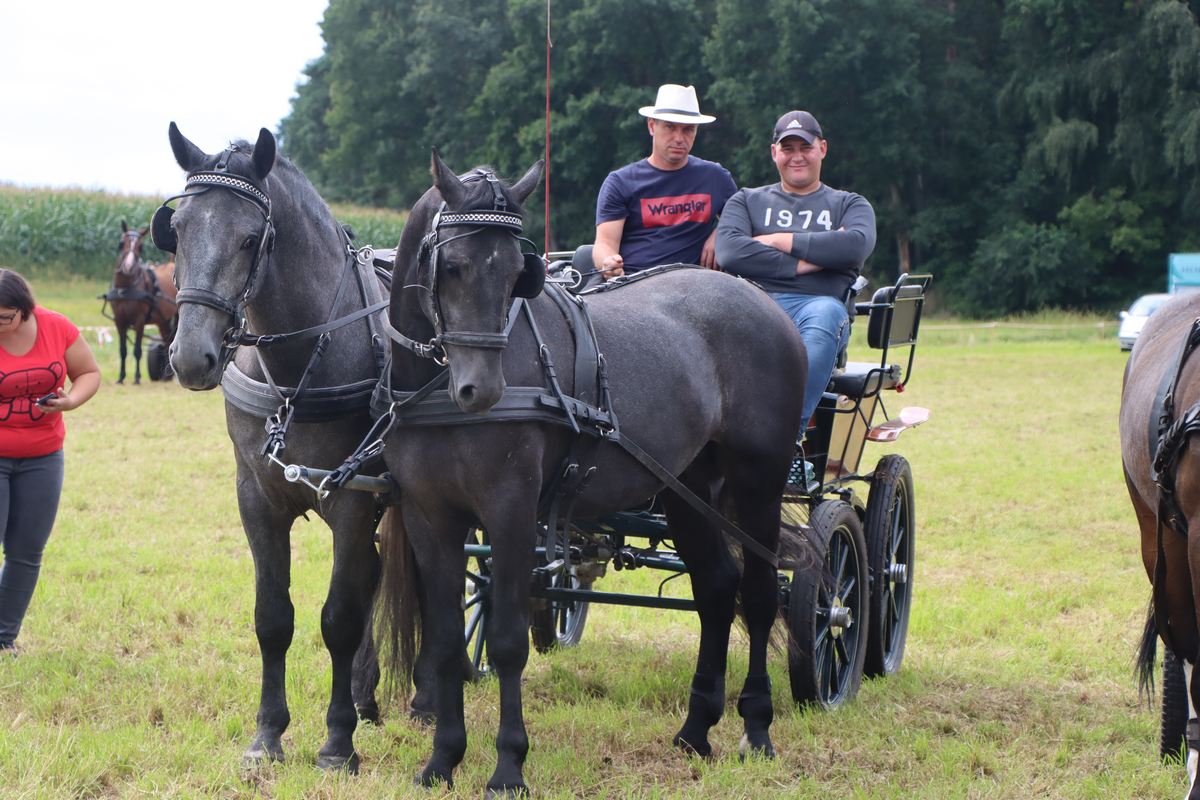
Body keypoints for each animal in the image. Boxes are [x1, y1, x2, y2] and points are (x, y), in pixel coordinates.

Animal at [106, 219, 178, 381]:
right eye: (121, 243)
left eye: (140, 247)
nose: (128, 267)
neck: (126, 289)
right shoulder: (119, 321)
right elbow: (123, 350)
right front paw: (121, 377)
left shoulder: (140, 320)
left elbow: (137, 350)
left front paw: (137, 377)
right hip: (163, 320)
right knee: (167, 341)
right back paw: (166, 374)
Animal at [160, 122, 388, 772]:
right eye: (178, 230)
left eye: (249, 238)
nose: (191, 357)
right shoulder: (256, 498)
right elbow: (273, 618)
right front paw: (268, 735)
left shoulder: (355, 502)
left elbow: (339, 617)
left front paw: (336, 743)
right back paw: (367, 696)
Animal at [374, 153, 806, 796]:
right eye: (450, 266)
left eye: (516, 274)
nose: (482, 390)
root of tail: (764, 302)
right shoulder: (431, 515)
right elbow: (448, 640)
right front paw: (442, 761)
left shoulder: (510, 510)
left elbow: (507, 642)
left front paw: (508, 766)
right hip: (687, 486)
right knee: (716, 586)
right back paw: (696, 729)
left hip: (760, 480)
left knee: (756, 593)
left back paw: (756, 728)